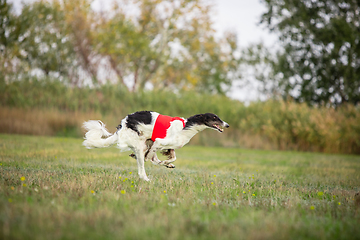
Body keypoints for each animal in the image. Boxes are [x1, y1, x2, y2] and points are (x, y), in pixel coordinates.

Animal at [83, 111, 229, 181]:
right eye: (215, 118)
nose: (227, 125)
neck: (185, 127)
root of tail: (121, 127)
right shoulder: (158, 141)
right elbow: (150, 156)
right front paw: (161, 161)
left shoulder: (168, 146)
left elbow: (172, 157)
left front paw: (167, 163)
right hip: (139, 144)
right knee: (142, 167)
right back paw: (146, 178)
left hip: (145, 141)